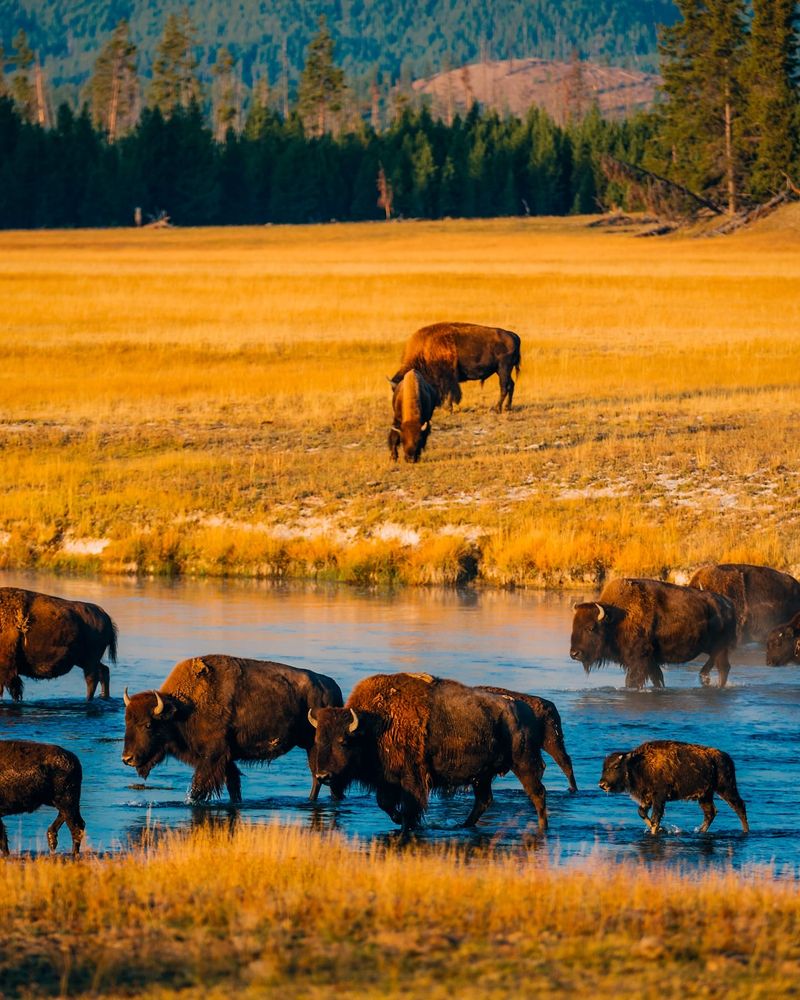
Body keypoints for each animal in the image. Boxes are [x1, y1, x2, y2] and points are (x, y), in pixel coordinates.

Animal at [122, 656, 344, 804]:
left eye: (148, 725)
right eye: (127, 722)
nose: (127, 759)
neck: (183, 708)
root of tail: (333, 688)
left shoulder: (212, 757)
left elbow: (199, 787)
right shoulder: (226, 759)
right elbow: (233, 785)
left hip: (314, 747)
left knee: (318, 778)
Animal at [306, 672, 552, 836]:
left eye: (343, 742)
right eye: (318, 740)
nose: (323, 776)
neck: (376, 724)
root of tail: (525, 710)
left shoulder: (411, 778)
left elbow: (409, 807)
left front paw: (408, 826)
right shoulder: (386, 780)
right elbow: (385, 804)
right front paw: (398, 819)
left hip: (524, 763)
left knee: (537, 793)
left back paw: (543, 828)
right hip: (482, 776)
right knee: (484, 800)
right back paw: (463, 825)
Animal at [390, 322, 520, 412]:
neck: (424, 350)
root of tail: (512, 335)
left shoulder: (447, 377)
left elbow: (449, 392)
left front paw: (448, 408)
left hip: (503, 369)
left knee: (504, 387)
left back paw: (497, 409)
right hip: (502, 371)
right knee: (511, 385)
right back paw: (507, 407)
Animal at [568, 580, 736, 688]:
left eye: (590, 628)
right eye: (574, 625)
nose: (574, 653)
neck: (617, 618)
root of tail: (728, 603)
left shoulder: (639, 660)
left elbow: (632, 681)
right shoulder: (651, 662)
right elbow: (657, 678)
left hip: (720, 648)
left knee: (723, 667)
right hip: (713, 648)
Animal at [600, 736, 752, 836]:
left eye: (616, 766)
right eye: (604, 767)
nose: (602, 784)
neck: (639, 764)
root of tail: (726, 757)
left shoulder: (659, 798)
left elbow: (655, 818)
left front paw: (656, 831)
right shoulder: (647, 798)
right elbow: (642, 812)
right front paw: (660, 829)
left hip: (726, 789)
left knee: (739, 806)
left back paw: (746, 831)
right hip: (705, 795)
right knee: (710, 813)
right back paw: (700, 831)